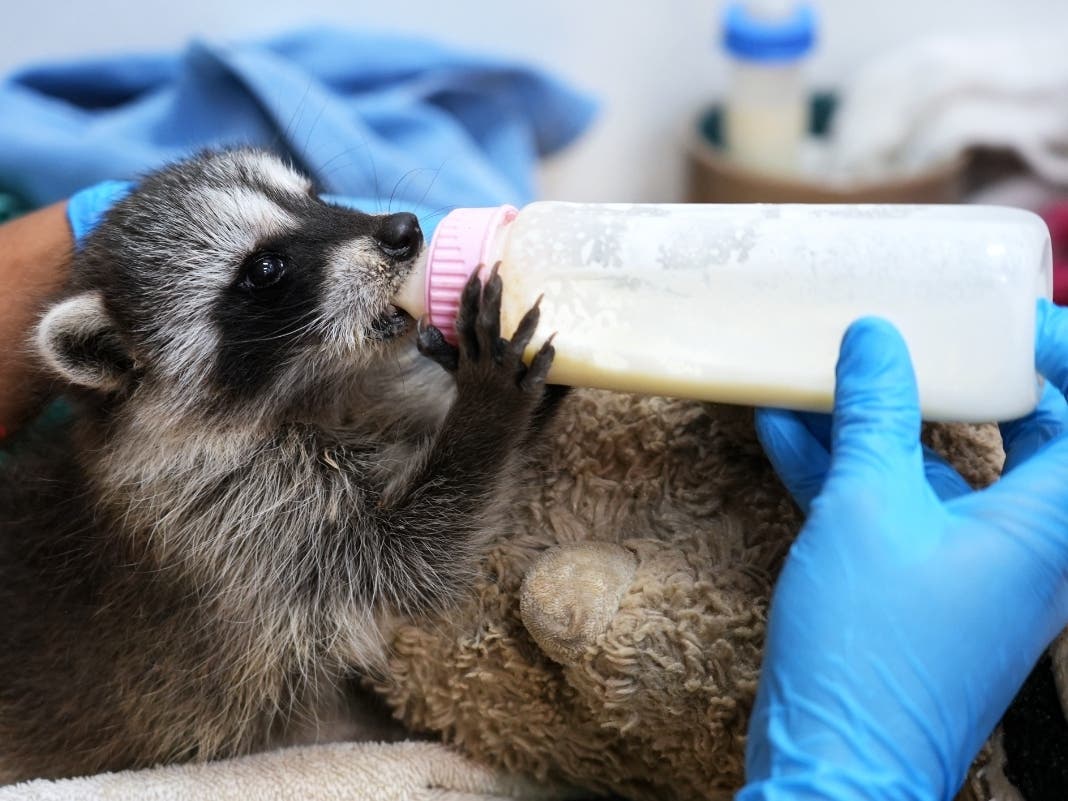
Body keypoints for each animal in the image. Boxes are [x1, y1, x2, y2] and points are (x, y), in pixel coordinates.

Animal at [0, 148, 560, 781]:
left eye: (311, 197)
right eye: (265, 270)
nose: (405, 230)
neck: (321, 392)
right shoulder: (231, 527)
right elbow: (406, 567)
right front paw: (488, 412)